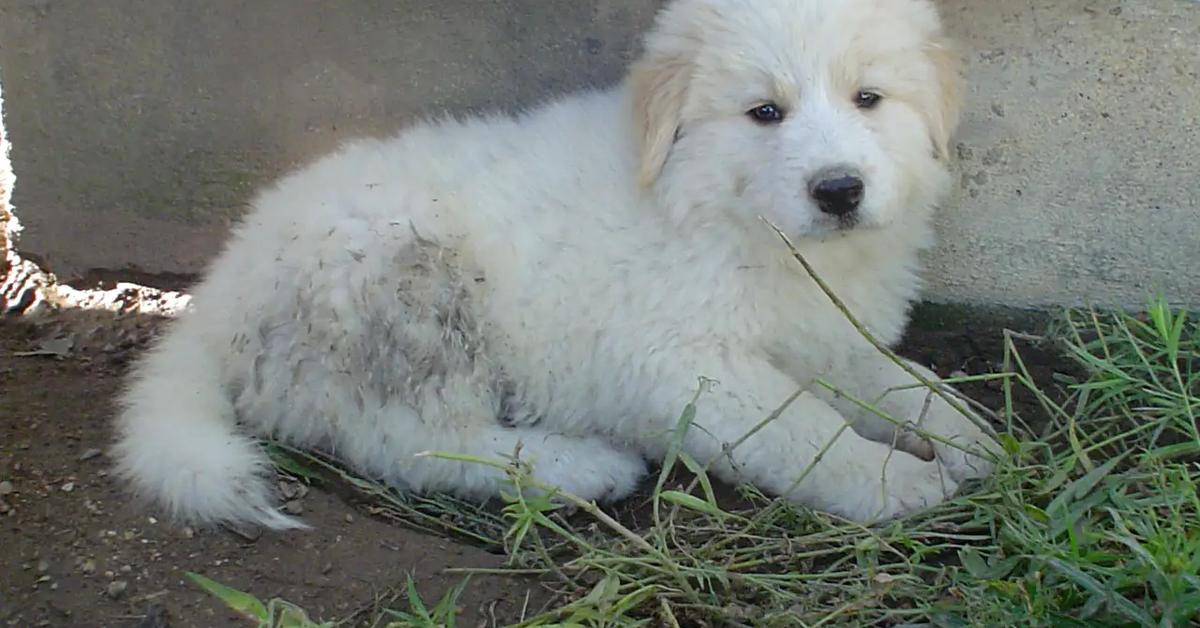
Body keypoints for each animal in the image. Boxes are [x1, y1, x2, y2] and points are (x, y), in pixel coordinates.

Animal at [112, 0, 998, 530]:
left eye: (869, 99)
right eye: (765, 113)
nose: (839, 190)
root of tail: (219, 293)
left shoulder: (828, 336)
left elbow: (903, 383)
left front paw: (974, 437)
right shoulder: (684, 364)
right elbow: (802, 428)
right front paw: (891, 482)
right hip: (407, 285)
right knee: (411, 443)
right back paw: (581, 466)